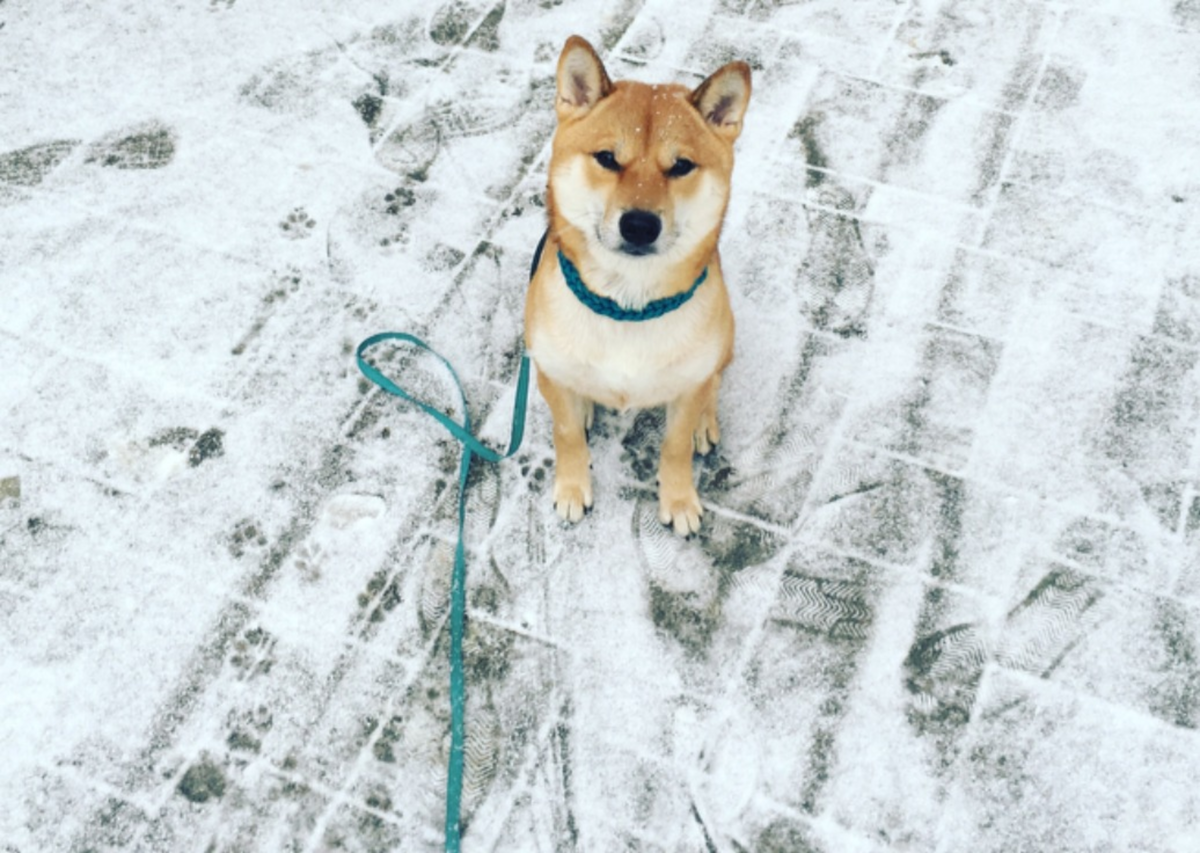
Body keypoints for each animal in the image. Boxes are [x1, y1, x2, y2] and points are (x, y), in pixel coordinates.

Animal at [525, 38, 748, 539]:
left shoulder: (687, 386)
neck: (627, 306)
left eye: (681, 166)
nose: (640, 225)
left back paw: (706, 421)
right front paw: (572, 487)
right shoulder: (550, 370)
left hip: (725, 339)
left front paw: (679, 499)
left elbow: (675, 445)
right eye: (608, 158)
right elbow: (566, 434)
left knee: (714, 381)